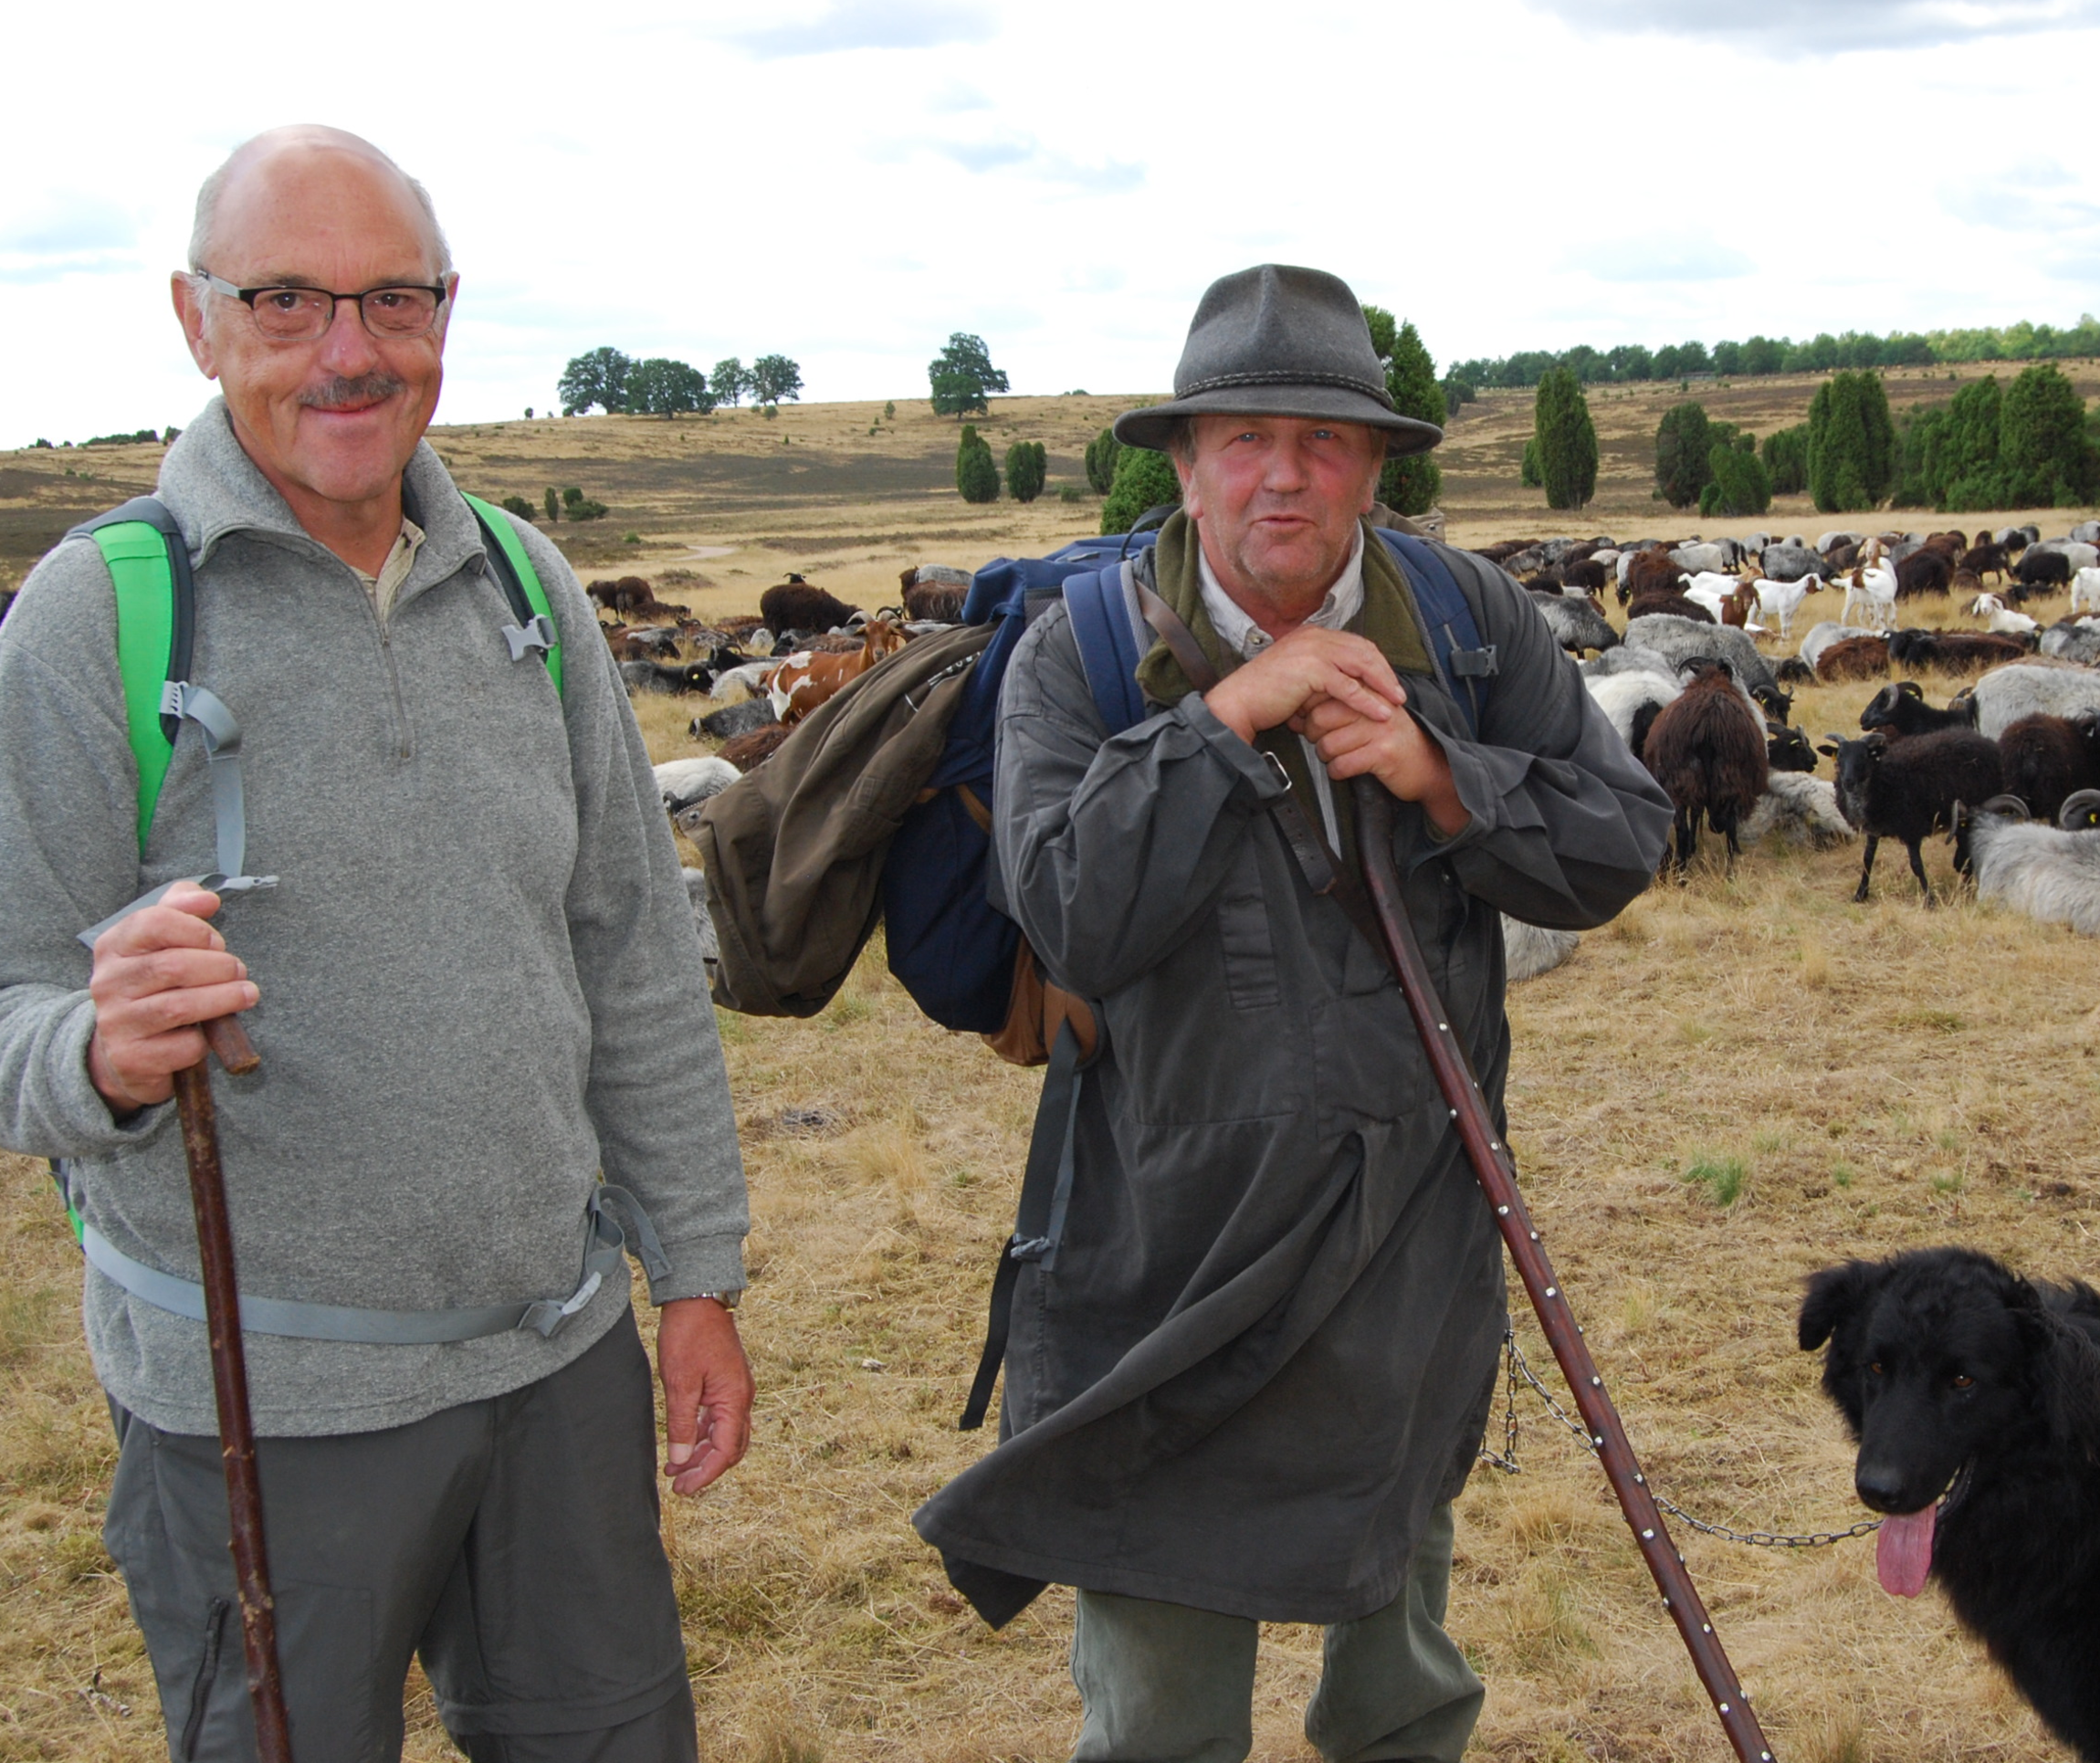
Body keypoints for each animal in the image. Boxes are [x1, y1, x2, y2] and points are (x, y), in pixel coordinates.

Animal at [1629, 658, 1764, 876]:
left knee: (1684, 829)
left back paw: (1683, 872)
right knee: (1729, 826)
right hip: (1727, 780)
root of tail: (1708, 725)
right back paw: (1728, 873)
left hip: (1683, 781)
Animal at [1822, 721, 1999, 902]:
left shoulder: (1911, 829)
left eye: (1864, 756)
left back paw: (1966, 888)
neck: (1881, 780)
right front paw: (1860, 894)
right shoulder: (1873, 830)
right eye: (1840, 756)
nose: (1848, 781)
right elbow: (1867, 860)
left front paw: (1929, 899)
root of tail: (1981, 738)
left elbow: (1916, 865)